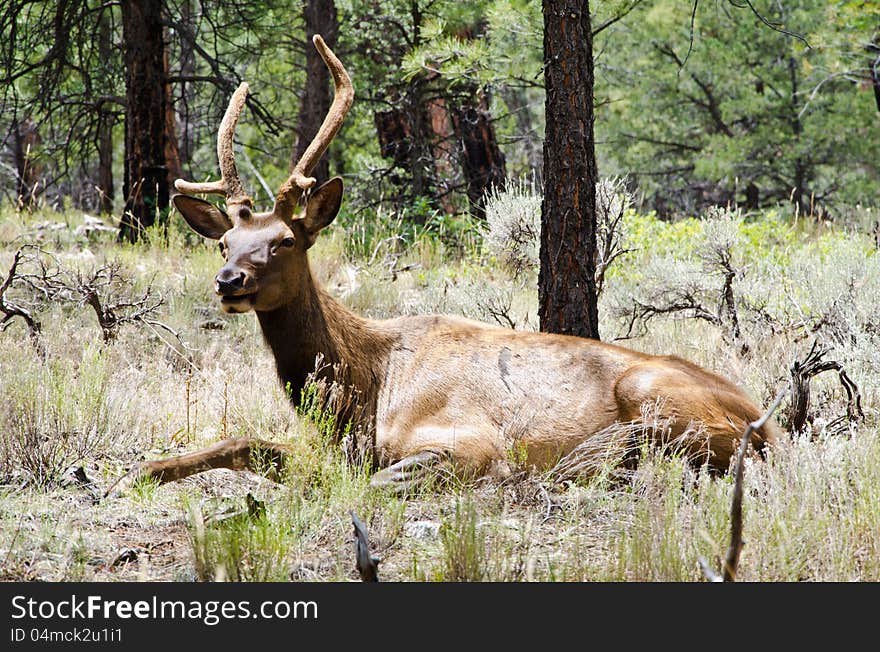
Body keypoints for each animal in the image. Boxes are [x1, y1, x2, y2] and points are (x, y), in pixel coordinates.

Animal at [103, 35, 776, 496]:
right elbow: (238, 442)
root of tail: (767, 421)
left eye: (287, 240)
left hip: (656, 396)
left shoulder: (461, 439)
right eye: (225, 243)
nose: (230, 280)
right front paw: (137, 472)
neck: (361, 391)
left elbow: (368, 483)